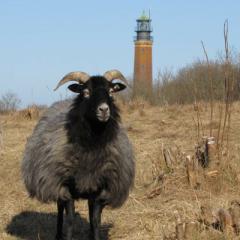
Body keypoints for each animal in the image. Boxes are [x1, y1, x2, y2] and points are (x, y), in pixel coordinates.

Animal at [21, 70, 135, 240]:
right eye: (86, 92)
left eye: (111, 91)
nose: (104, 110)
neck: (92, 147)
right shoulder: (65, 187)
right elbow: (70, 220)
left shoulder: (101, 187)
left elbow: (96, 220)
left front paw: (94, 235)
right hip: (57, 184)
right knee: (60, 210)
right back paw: (57, 234)